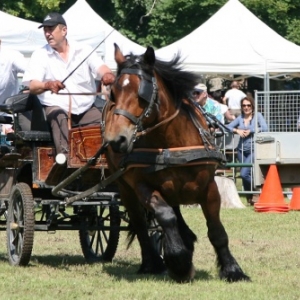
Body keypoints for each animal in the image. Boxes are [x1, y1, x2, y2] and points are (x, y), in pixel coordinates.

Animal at [102, 43, 250, 282]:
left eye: (141, 92)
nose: (116, 140)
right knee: (141, 224)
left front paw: (233, 270)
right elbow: (165, 217)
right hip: (125, 188)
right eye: (113, 92)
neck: (171, 143)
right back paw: (152, 263)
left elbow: (216, 230)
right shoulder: (141, 185)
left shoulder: (209, 187)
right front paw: (179, 261)